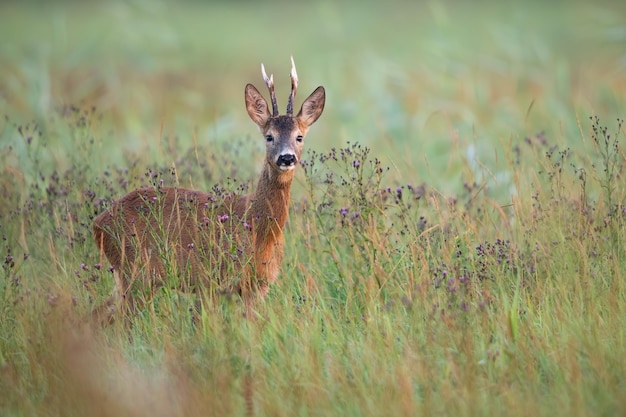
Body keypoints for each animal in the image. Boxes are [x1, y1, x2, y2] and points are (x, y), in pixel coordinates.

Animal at [93, 57, 326, 322]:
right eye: (269, 136)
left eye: (299, 137)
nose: (286, 158)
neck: (258, 229)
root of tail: (98, 224)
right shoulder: (211, 281)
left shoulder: (258, 286)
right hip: (135, 272)